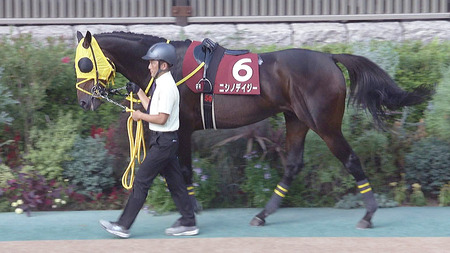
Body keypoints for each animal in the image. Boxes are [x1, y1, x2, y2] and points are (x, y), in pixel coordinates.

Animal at [74, 30, 432, 228]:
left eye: (84, 62)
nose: (84, 101)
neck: (169, 67)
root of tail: (330, 58)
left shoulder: (184, 126)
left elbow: (183, 170)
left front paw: (189, 211)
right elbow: (174, 170)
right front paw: (188, 210)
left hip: (325, 123)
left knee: (350, 159)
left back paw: (368, 214)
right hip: (296, 119)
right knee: (293, 164)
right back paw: (263, 213)